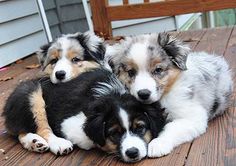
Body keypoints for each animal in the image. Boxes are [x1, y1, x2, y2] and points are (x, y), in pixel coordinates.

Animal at [3, 68, 166, 163]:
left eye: (140, 128)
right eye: (114, 134)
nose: (132, 153)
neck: (113, 93)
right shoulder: (69, 122)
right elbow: (90, 140)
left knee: (21, 131)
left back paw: (35, 142)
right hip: (31, 93)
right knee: (40, 127)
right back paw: (57, 143)